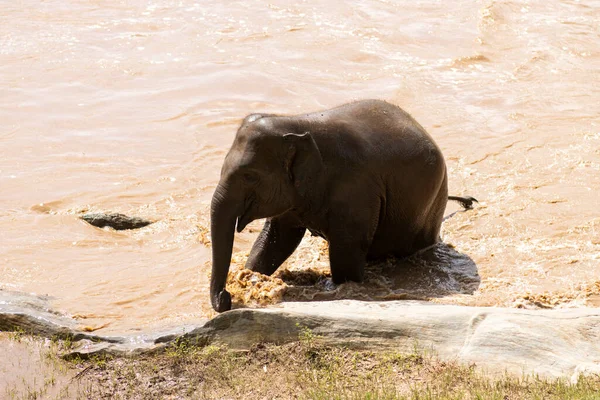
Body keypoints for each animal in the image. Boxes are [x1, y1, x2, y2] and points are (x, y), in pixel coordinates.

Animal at [209, 100, 476, 312]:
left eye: (249, 176)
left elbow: (345, 256)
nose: (226, 298)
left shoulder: (356, 192)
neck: (296, 122)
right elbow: (277, 239)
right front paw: (252, 276)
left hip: (428, 208)